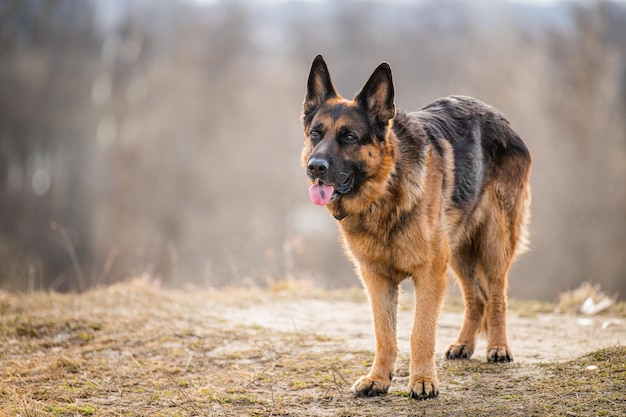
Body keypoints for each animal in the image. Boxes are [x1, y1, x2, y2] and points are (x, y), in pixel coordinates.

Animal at [300, 53, 528, 398]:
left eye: (349, 136)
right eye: (316, 133)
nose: (315, 167)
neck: (385, 191)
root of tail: (502, 119)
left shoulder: (430, 273)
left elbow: (420, 331)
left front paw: (422, 380)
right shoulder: (376, 278)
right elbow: (384, 333)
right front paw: (379, 379)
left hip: (492, 243)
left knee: (497, 296)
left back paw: (498, 347)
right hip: (459, 252)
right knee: (477, 297)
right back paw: (464, 344)